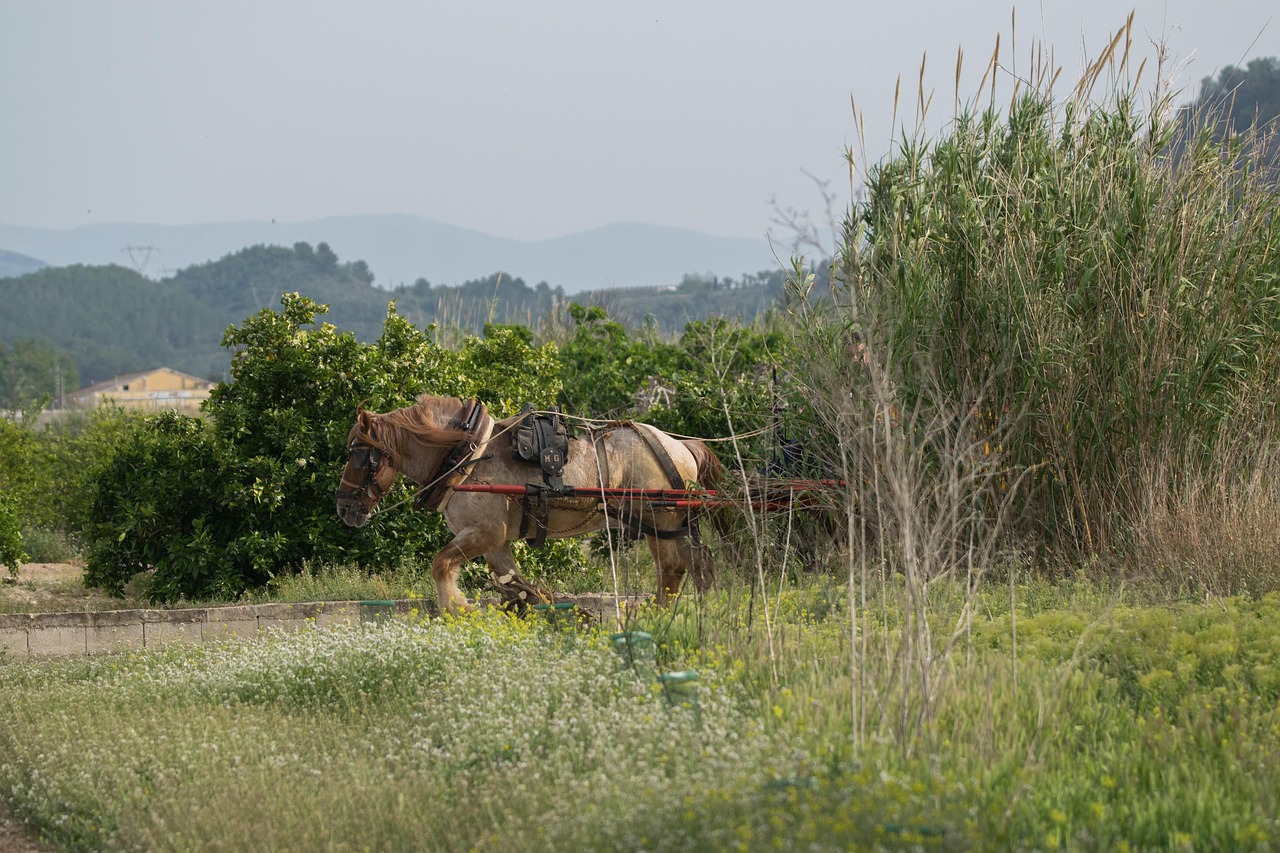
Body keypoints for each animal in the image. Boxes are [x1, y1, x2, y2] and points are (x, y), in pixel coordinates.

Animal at [335, 391, 727, 612]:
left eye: (357, 455)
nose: (343, 507)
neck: (465, 456)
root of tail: (680, 445)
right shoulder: (496, 544)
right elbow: (519, 589)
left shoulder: (483, 534)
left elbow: (440, 565)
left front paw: (458, 610)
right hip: (671, 526)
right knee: (698, 564)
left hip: (658, 521)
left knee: (672, 571)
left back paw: (661, 618)